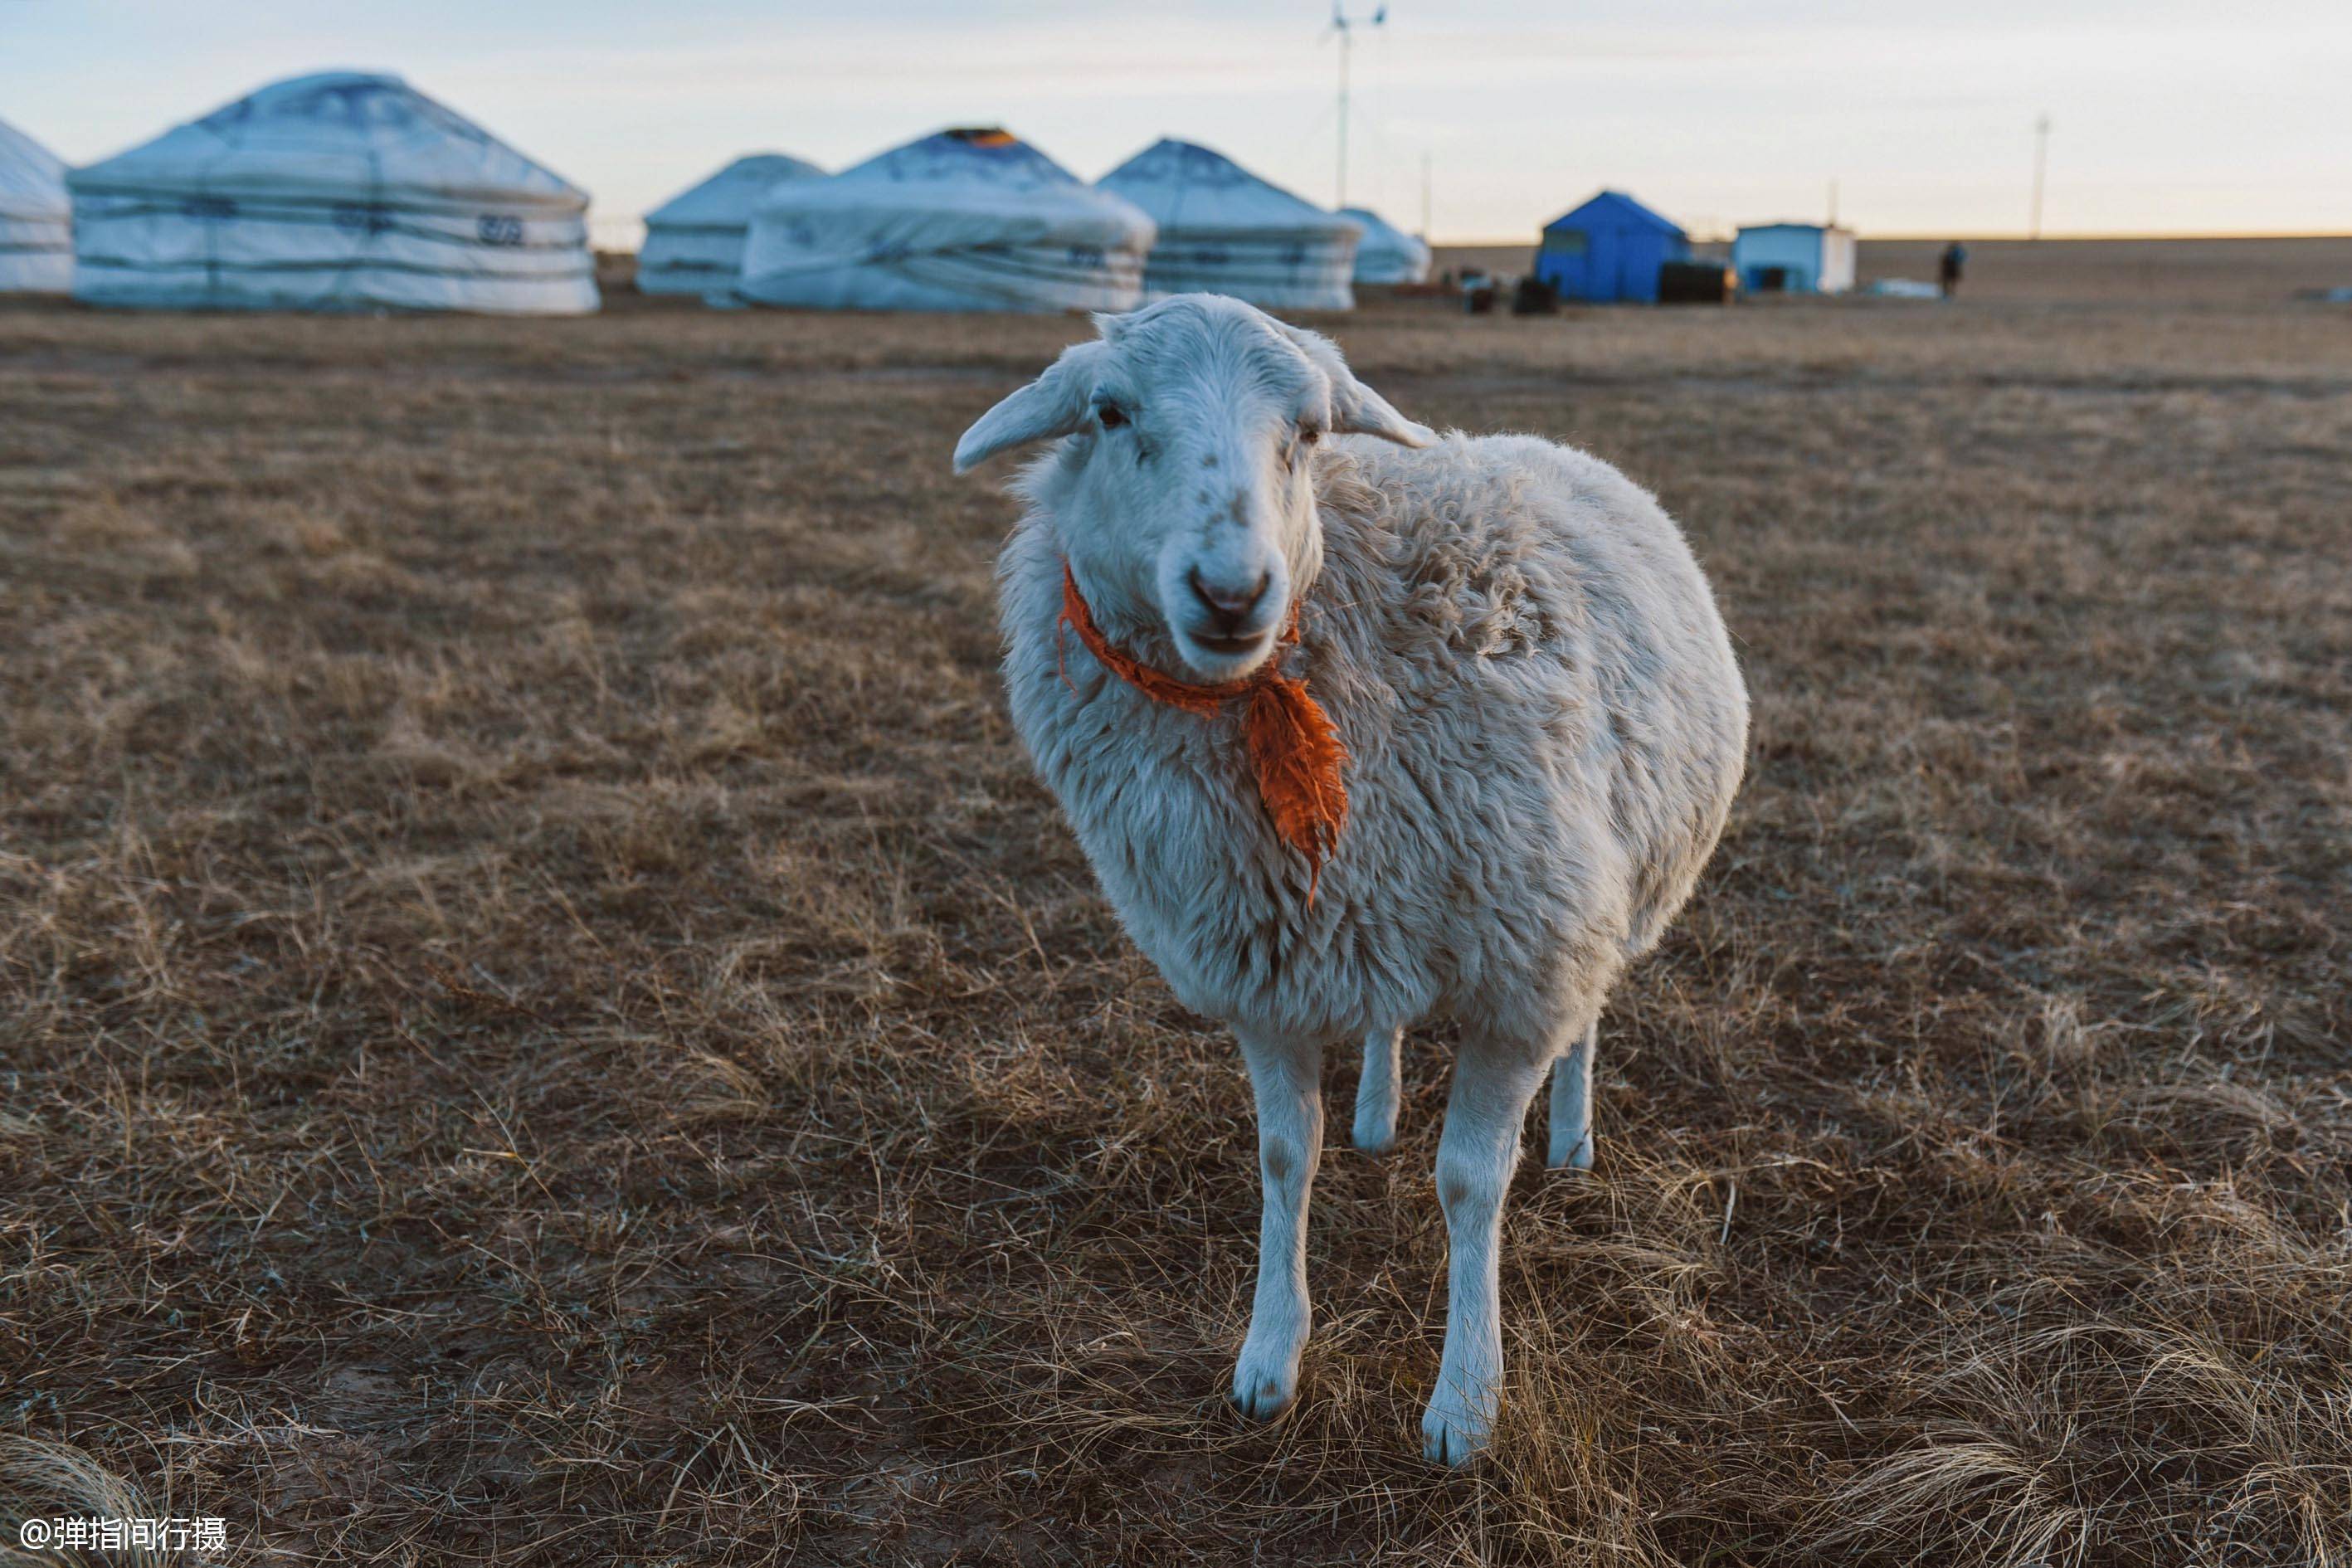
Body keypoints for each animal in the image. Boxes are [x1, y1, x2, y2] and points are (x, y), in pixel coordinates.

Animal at [955, 297, 1750, 1476]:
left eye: (1312, 430)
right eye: (1110, 411)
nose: (1233, 593)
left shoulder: (1527, 968)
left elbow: (1470, 1182)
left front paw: (1466, 1401)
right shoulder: (1266, 967)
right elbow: (1288, 1157)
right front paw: (1269, 1357)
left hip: (1606, 891)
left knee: (1593, 1013)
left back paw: (1571, 1137)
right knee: (1386, 1016)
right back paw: (1379, 1107)